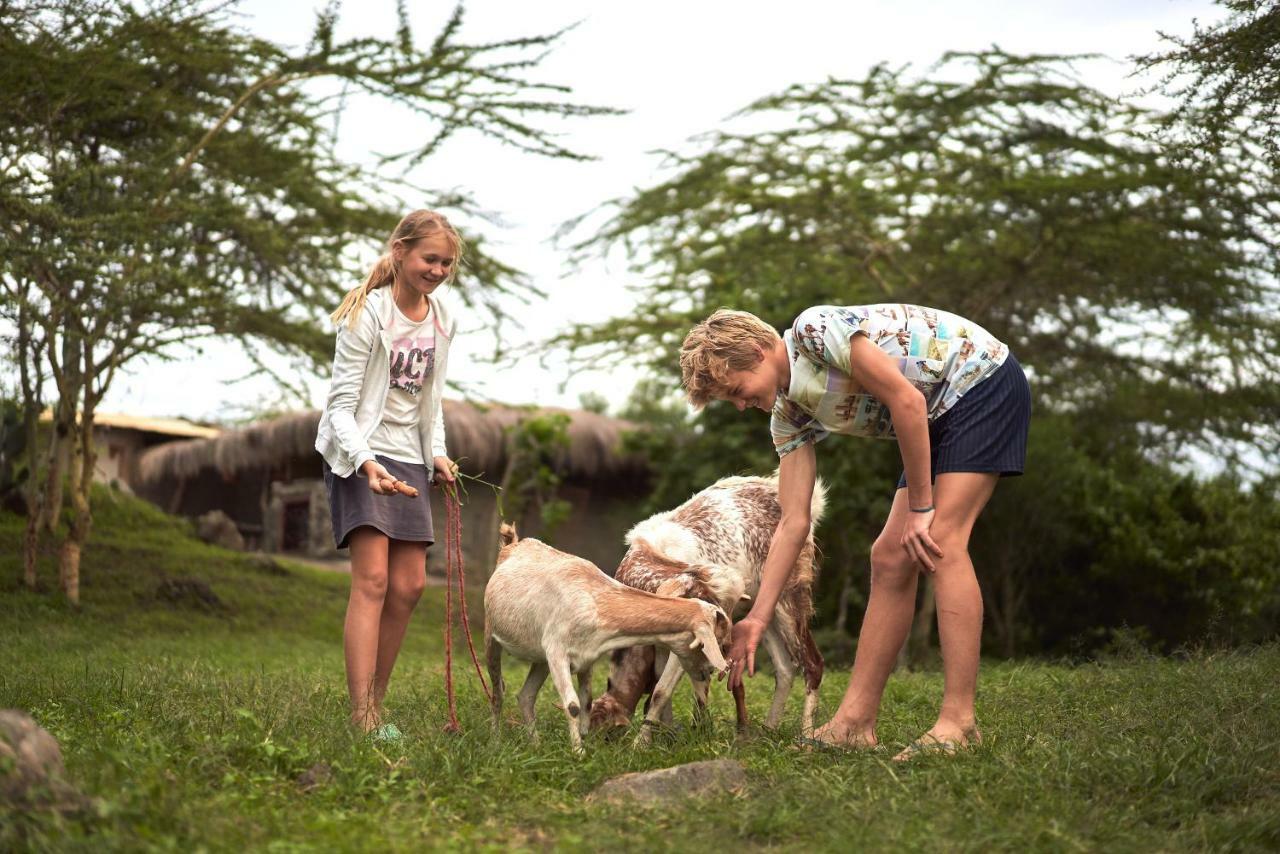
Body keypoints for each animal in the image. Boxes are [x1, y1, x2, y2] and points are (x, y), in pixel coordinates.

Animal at [481, 524, 732, 752]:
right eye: (715, 643)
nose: (710, 671)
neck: (595, 601)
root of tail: (512, 545)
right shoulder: (557, 651)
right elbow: (572, 705)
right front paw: (578, 754)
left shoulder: (585, 659)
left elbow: (585, 703)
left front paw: (586, 744)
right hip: (491, 635)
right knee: (497, 691)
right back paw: (494, 742)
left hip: (541, 660)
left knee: (525, 696)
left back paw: (536, 745)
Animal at [588, 473, 829, 742]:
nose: (723, 647)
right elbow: (662, 690)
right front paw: (664, 737)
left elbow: (661, 691)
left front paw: (642, 743)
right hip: (761, 609)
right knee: (785, 667)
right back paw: (767, 731)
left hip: (790, 595)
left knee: (812, 663)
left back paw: (805, 740)